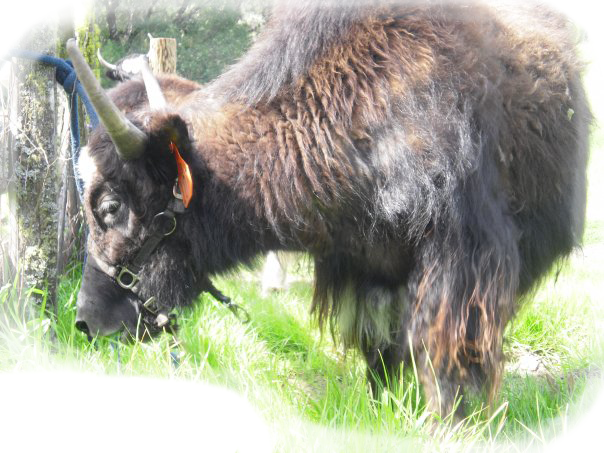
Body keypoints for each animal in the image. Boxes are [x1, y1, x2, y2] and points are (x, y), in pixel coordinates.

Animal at [68, 0, 591, 418]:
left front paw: (448, 424)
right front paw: (382, 410)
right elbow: (379, 347)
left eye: (111, 205)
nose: (87, 323)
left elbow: (442, 351)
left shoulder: (461, 260)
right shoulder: (365, 268)